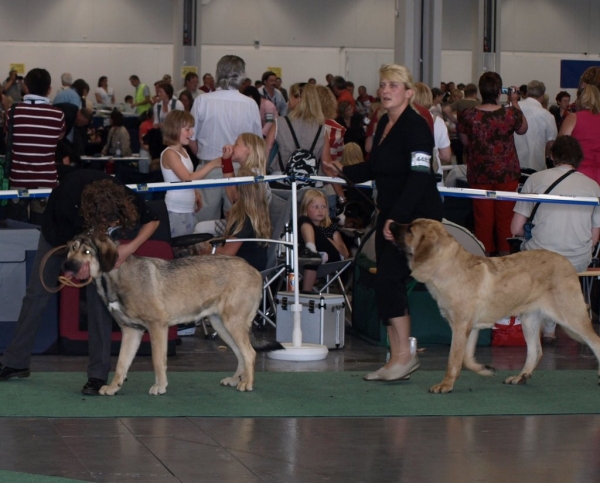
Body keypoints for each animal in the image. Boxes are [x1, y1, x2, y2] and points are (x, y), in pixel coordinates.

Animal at [392, 218, 600, 394]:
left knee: (595, 341)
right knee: (536, 351)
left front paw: (445, 385)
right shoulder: (471, 328)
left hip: (571, 317)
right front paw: (485, 369)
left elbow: (453, 360)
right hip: (529, 320)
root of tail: (569, 264)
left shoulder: (460, 327)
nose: (391, 224)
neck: (447, 267)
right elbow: (466, 359)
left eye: (410, 229)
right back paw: (521, 377)